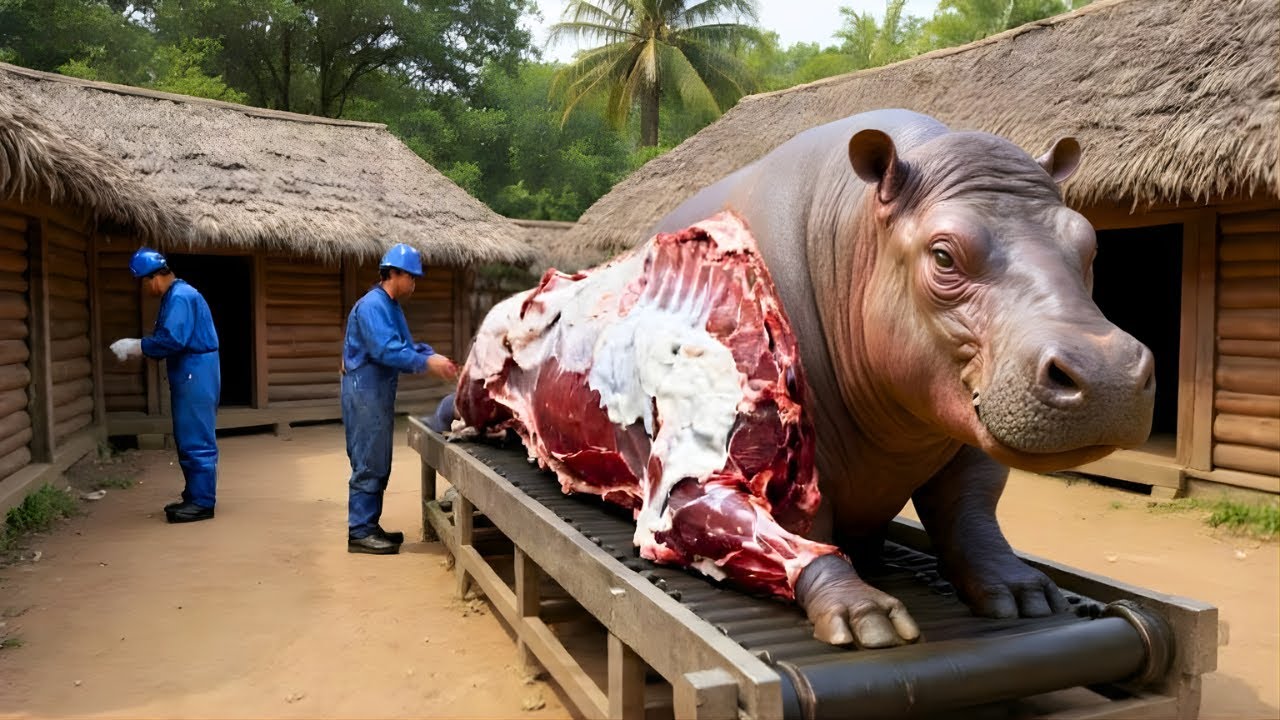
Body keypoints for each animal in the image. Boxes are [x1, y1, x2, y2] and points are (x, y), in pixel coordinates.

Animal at [644, 108, 1155, 647]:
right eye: (943, 255)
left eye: (1090, 243)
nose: (1107, 371)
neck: (857, 236)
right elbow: (794, 532)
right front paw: (868, 620)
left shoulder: (965, 437)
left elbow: (968, 511)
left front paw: (1026, 596)